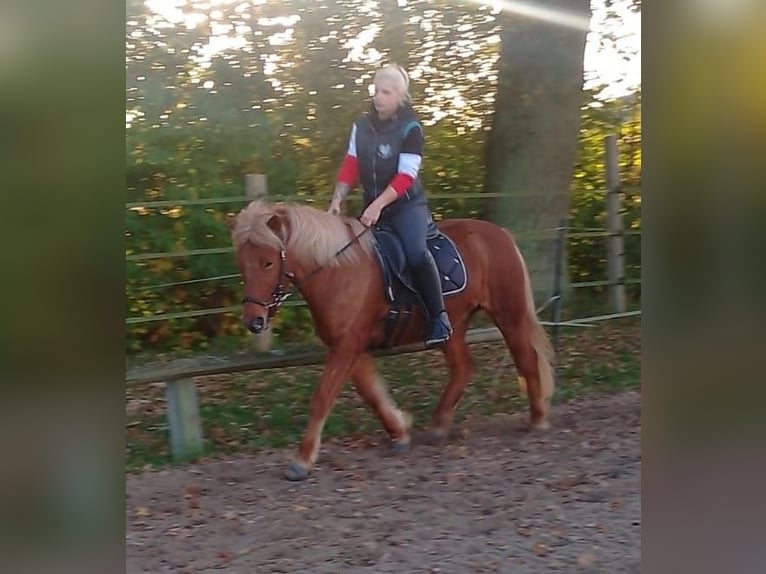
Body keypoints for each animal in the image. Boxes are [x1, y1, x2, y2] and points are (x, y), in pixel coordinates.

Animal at [226, 201, 552, 482]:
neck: (338, 271)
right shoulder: (350, 348)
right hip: (453, 327)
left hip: (509, 314)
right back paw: (440, 423)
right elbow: (372, 393)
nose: (254, 322)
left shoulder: (347, 348)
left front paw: (302, 461)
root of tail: (500, 233)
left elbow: (322, 399)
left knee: (526, 359)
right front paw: (399, 431)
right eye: (242, 264)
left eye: (268, 263)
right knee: (463, 368)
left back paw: (538, 418)